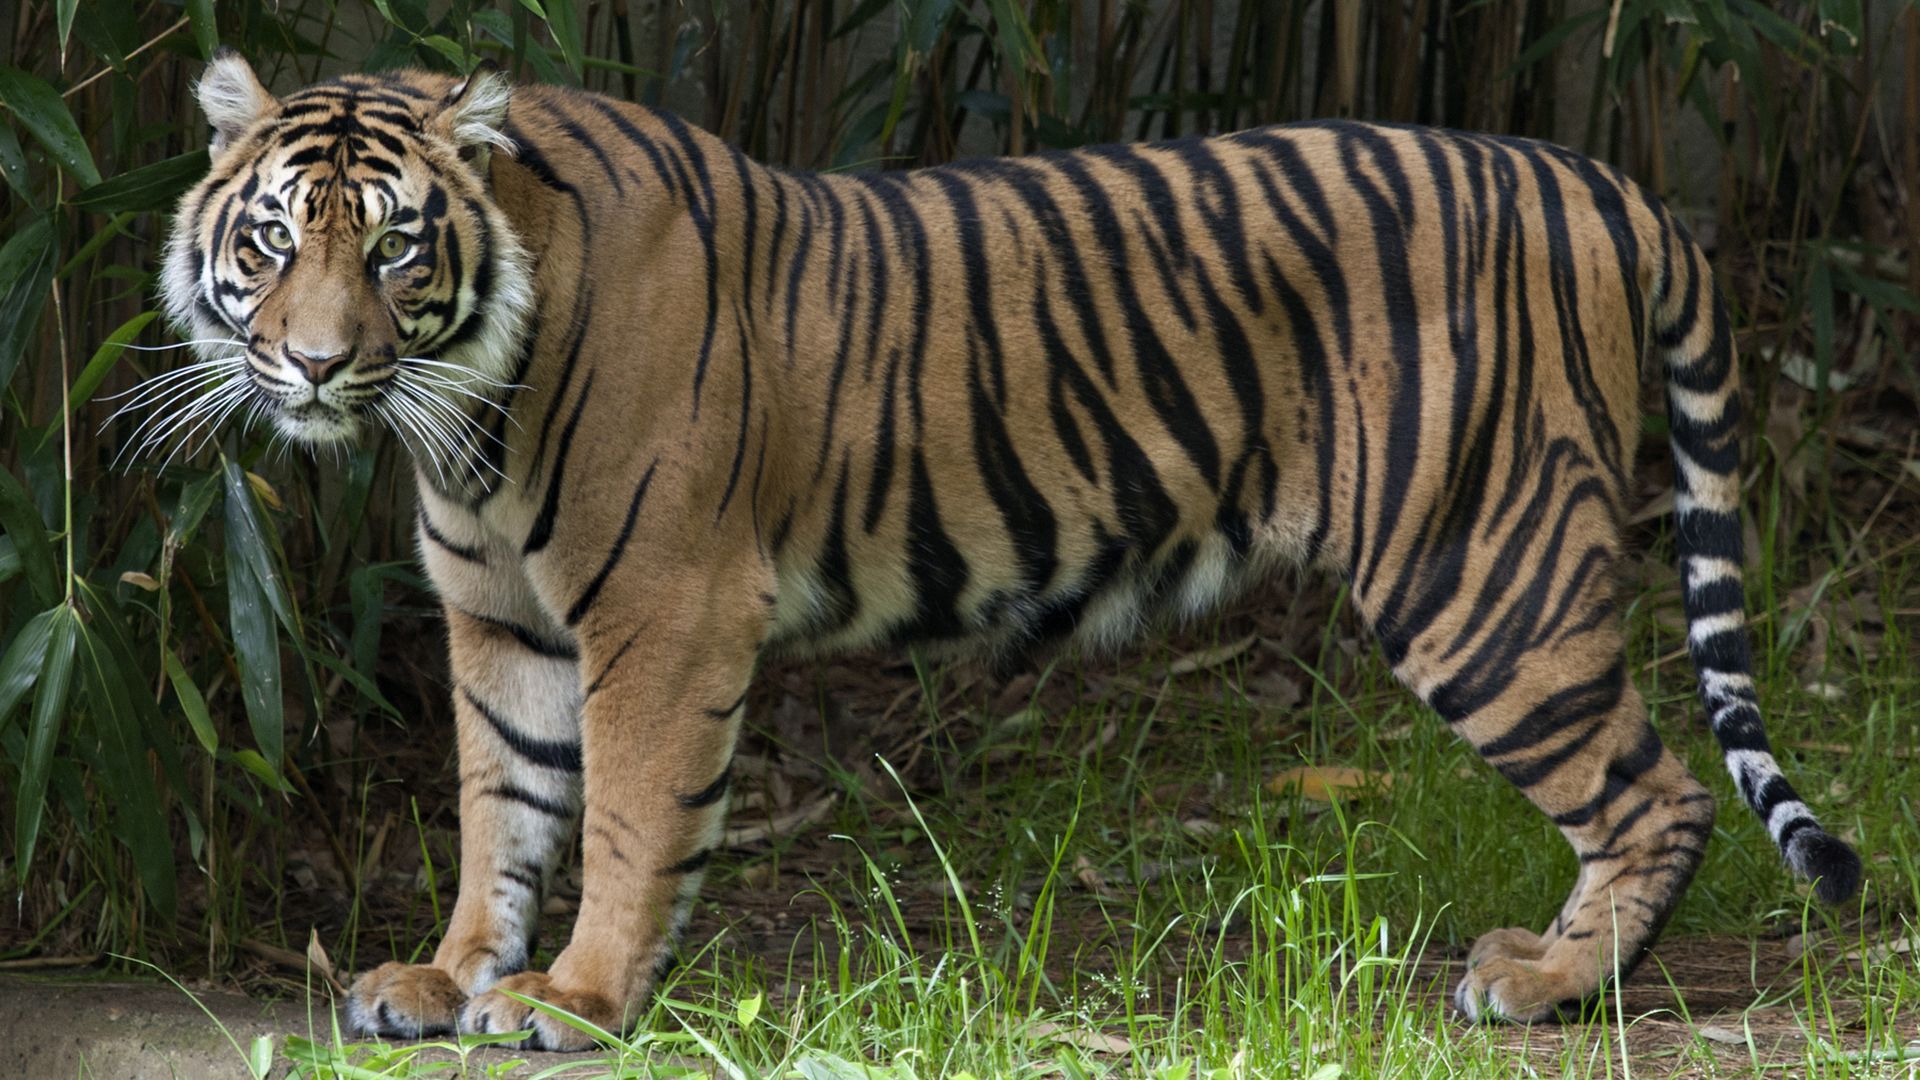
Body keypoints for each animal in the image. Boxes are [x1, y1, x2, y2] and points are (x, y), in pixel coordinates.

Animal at [155, 49, 1859, 1049]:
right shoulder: (502, 623)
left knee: (1657, 794)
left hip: (1479, 568)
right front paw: (447, 980)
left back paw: (1553, 986)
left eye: (396, 246)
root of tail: (1602, 179)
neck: (466, 409)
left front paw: (571, 1000)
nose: (314, 365)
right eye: (275, 239)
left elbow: (629, 820)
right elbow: (499, 813)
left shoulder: (662, 615)